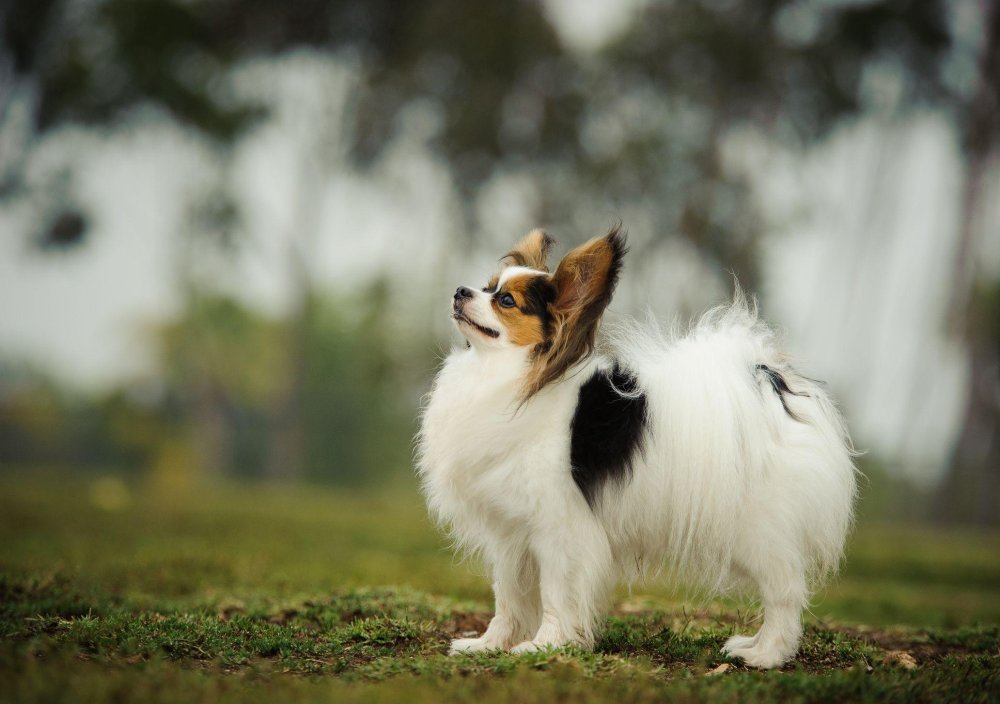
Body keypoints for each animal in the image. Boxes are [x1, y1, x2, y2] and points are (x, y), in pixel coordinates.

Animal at [416, 228, 860, 668]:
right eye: (487, 286)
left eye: (506, 300)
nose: (460, 291)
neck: (509, 377)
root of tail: (774, 387)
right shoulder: (512, 535)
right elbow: (508, 598)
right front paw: (489, 645)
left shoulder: (560, 531)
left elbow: (557, 595)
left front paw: (546, 645)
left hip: (758, 533)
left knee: (785, 593)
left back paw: (766, 654)